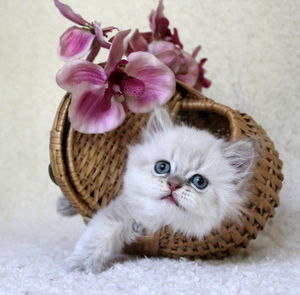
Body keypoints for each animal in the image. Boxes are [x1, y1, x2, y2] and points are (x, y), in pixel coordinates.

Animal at [64, 107, 254, 274]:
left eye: (199, 181)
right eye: (162, 167)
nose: (173, 184)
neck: (160, 221)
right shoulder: (120, 212)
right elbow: (98, 236)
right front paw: (79, 266)